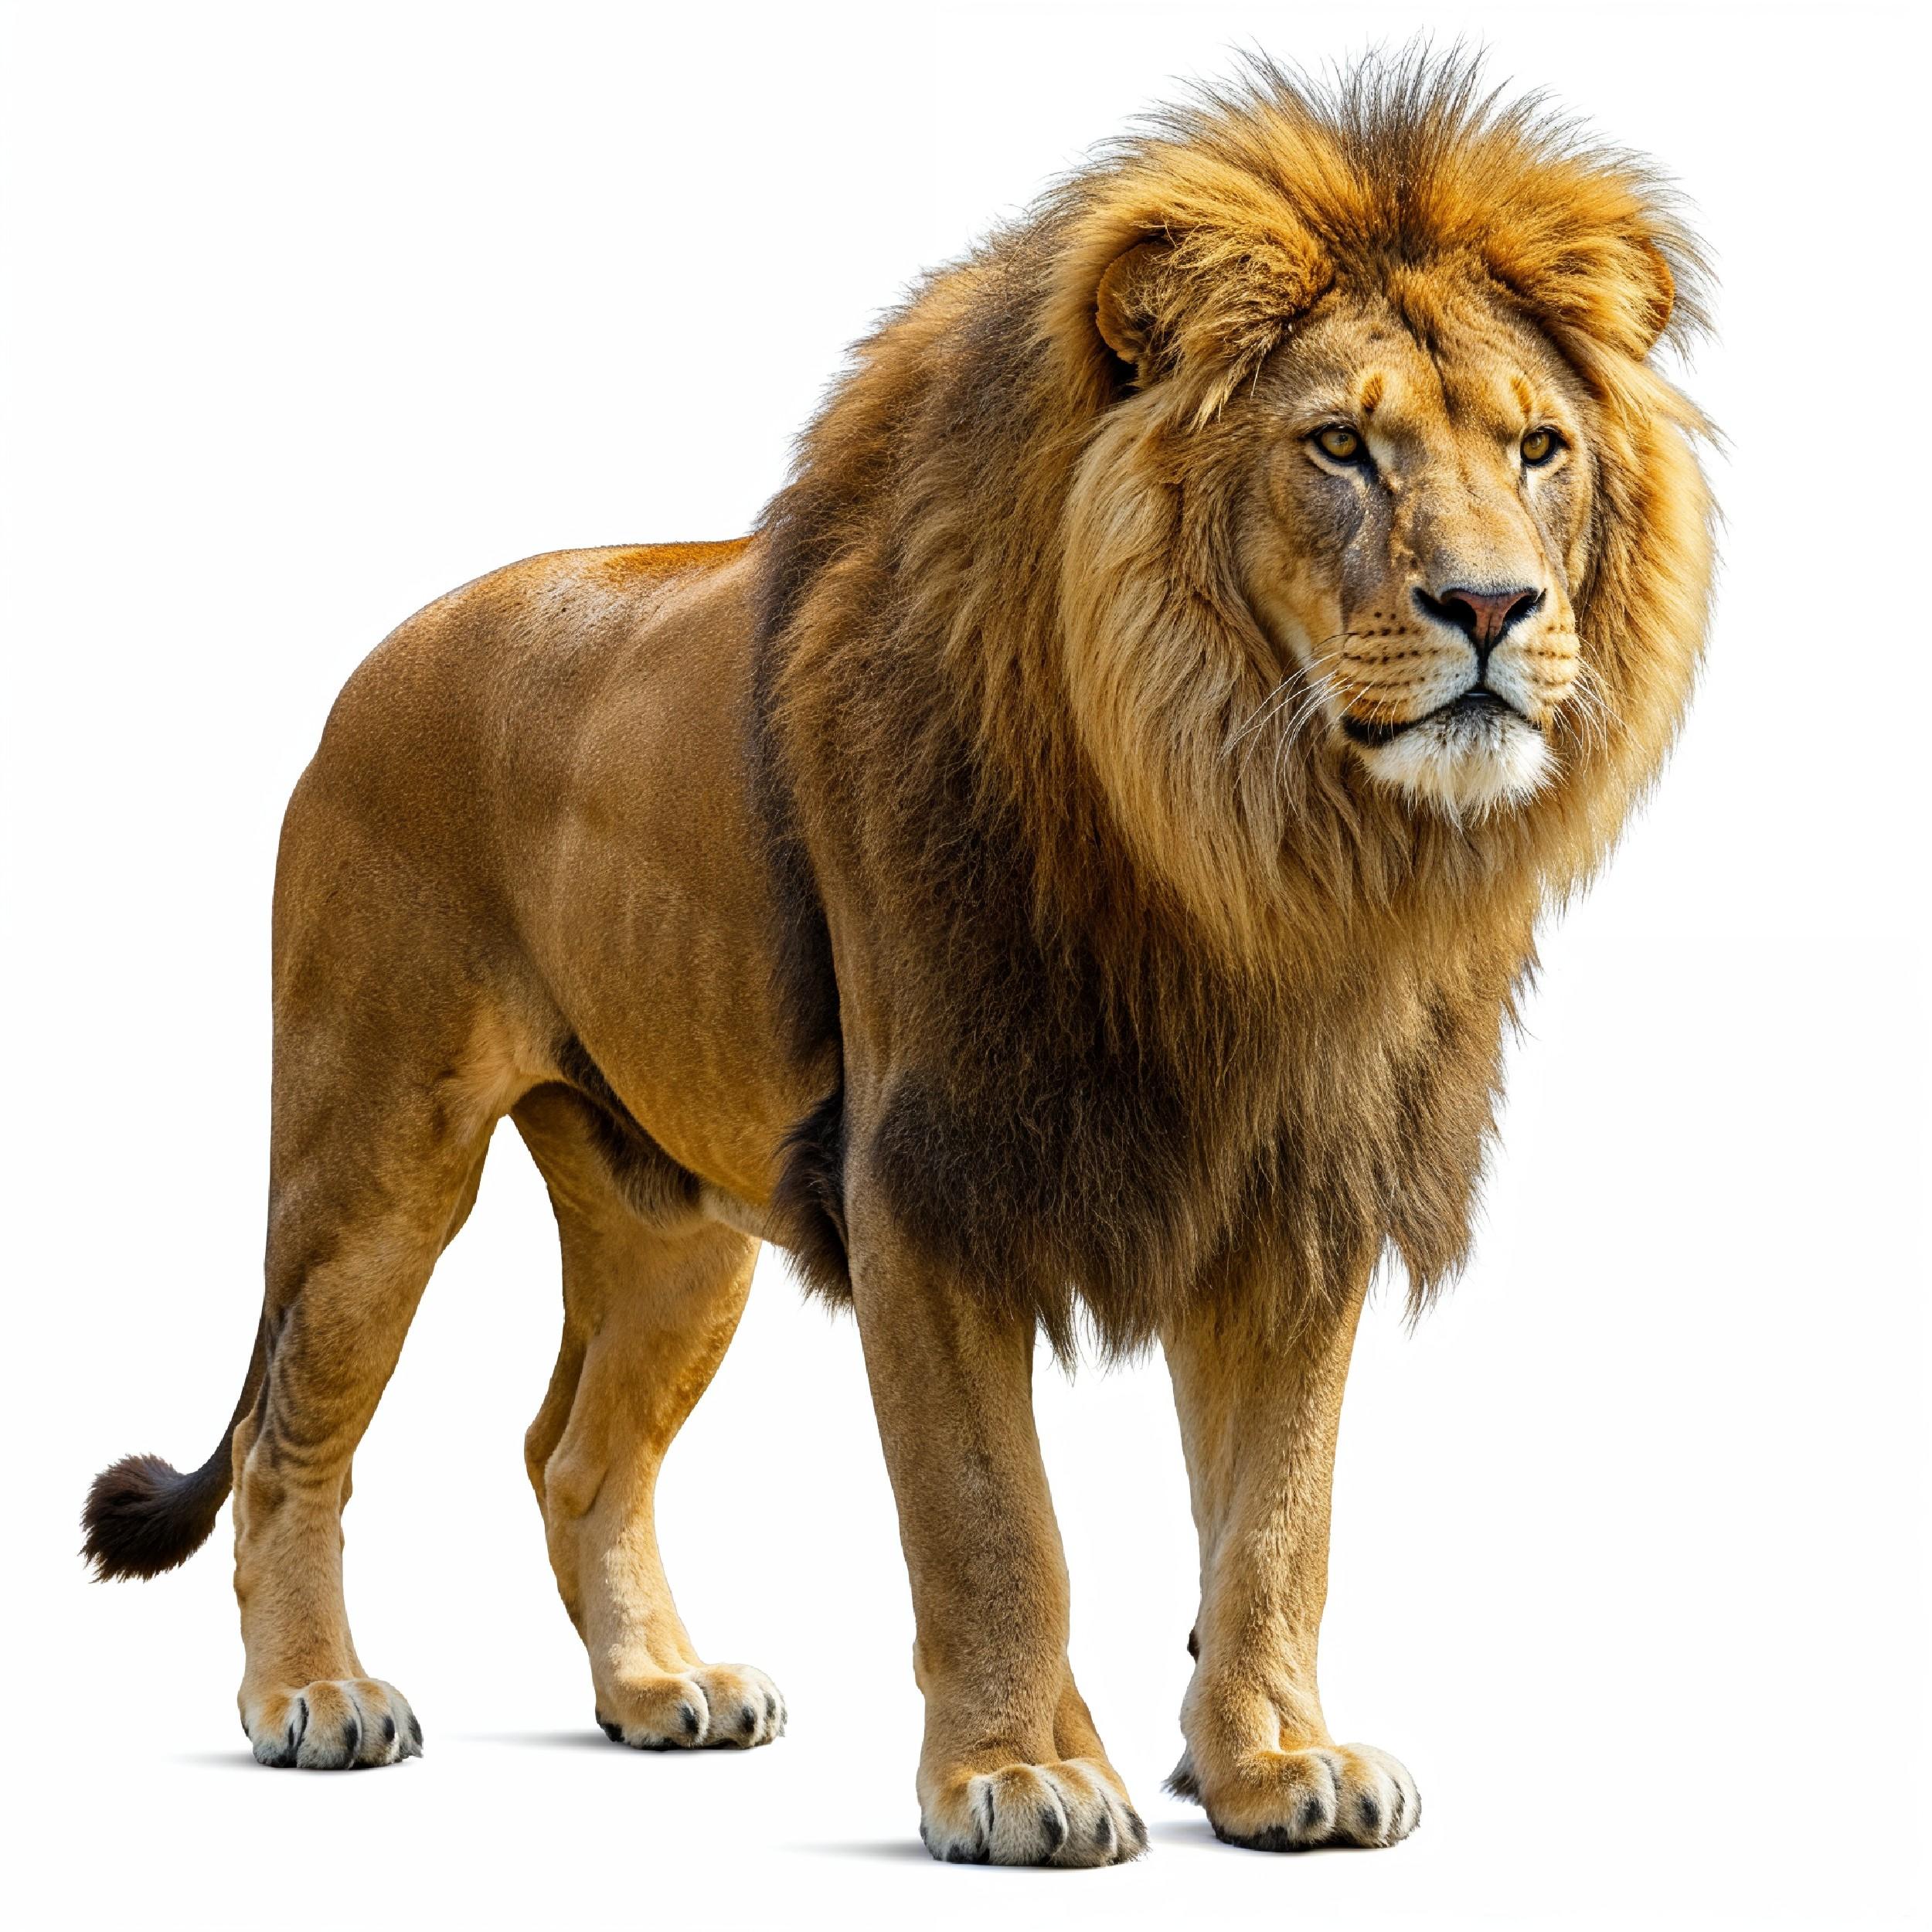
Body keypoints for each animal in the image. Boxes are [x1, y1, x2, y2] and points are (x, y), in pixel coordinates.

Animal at [82, 52, 1713, 1865]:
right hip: (376, 1152)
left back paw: (661, 1687)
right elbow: (991, 1520)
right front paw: (1017, 1776)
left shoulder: (1295, 1193)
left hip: (672, 1223)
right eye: (1340, 446)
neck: (1250, 846)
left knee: (575, 1453)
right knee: (295, 1437)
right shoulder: (923, 1174)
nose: (1494, 608)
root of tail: (376, 659)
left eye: (1539, 447)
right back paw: (315, 1696)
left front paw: (1272, 1761)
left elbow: (1278, 1520)